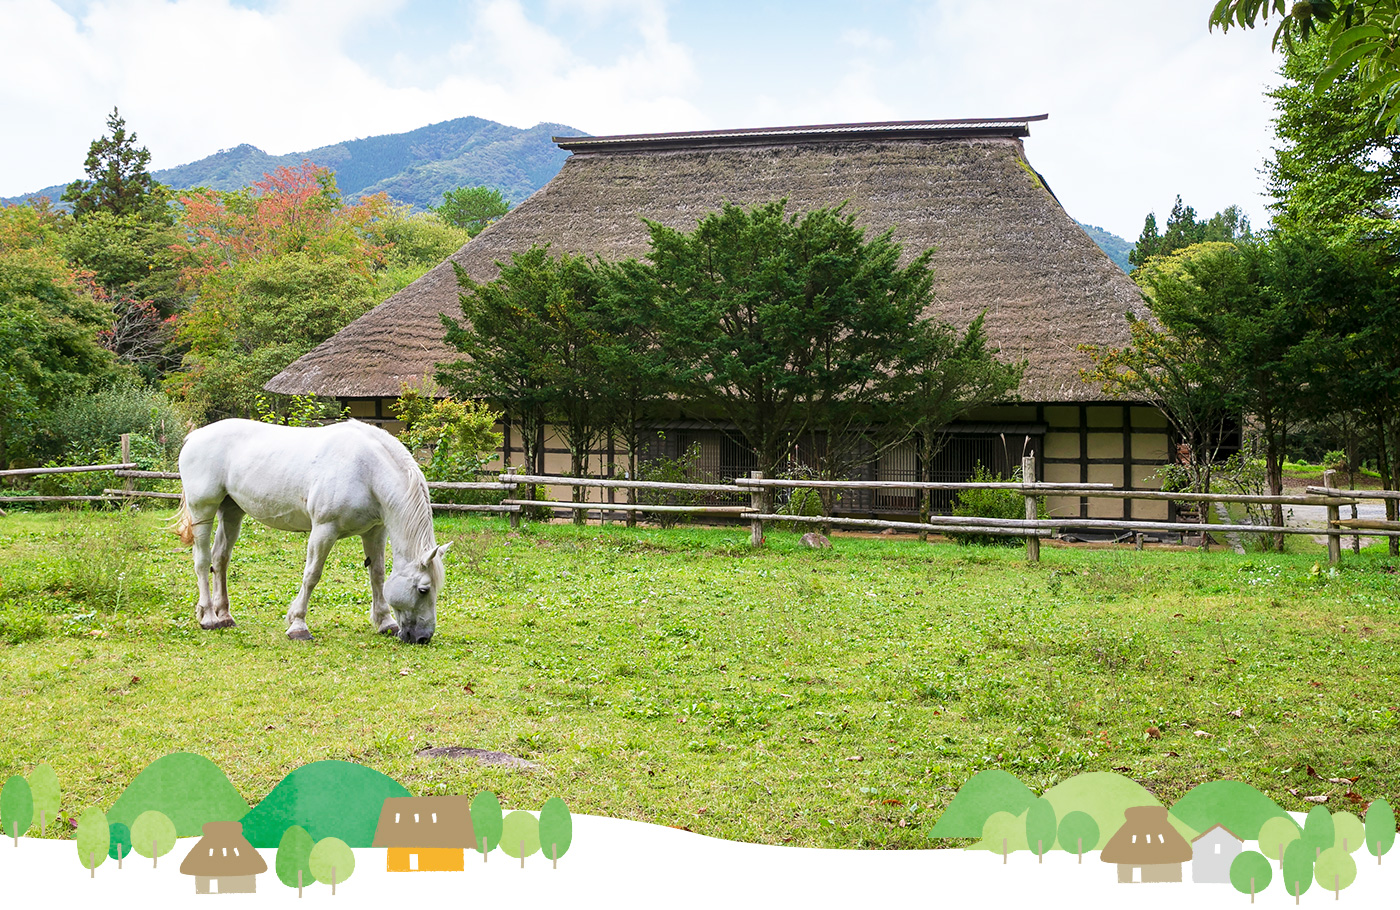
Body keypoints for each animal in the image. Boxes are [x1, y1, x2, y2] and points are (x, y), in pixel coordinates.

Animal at [172, 420, 450, 641]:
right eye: (423, 589)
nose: (423, 637)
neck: (367, 471)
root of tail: (194, 437)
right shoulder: (324, 530)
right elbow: (312, 575)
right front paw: (298, 625)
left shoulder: (374, 531)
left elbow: (378, 575)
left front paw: (385, 622)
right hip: (203, 511)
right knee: (202, 561)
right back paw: (208, 617)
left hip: (231, 512)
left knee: (220, 559)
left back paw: (225, 615)